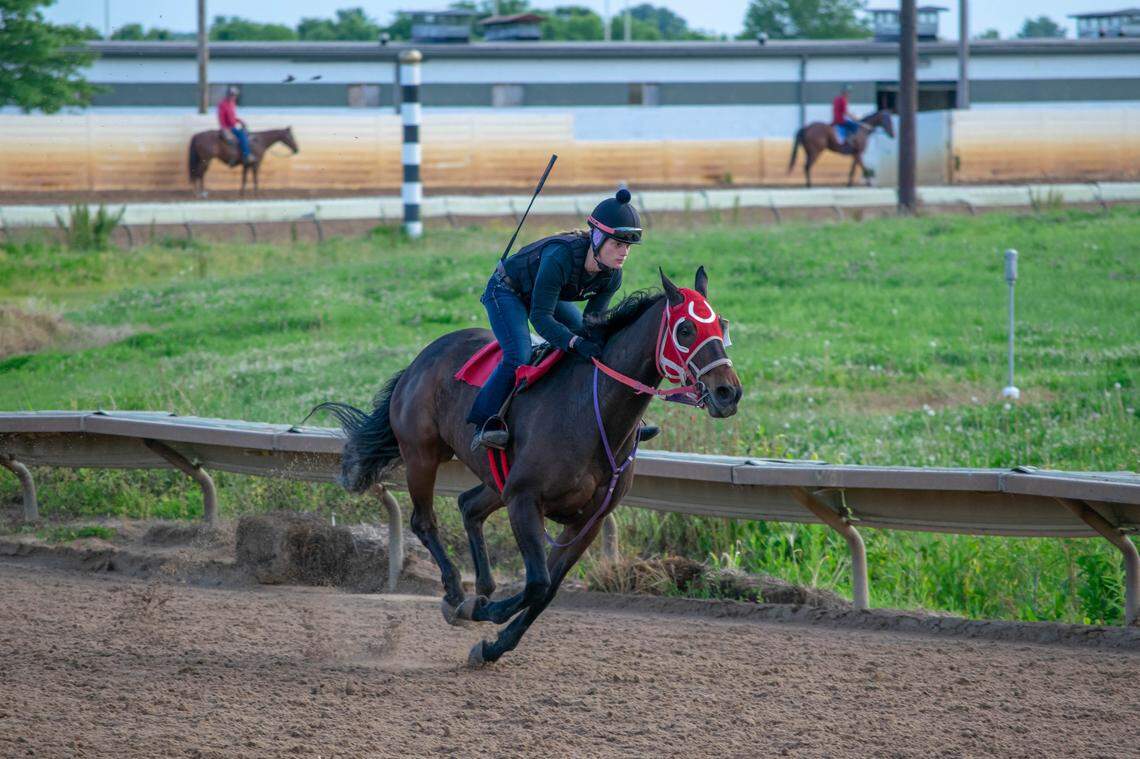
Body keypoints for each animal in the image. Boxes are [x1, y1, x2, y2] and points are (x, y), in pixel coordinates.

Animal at [314, 268, 742, 665]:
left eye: (721, 324)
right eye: (685, 328)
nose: (728, 392)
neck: (591, 412)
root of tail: (421, 358)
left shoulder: (588, 521)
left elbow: (547, 590)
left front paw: (492, 643)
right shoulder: (524, 500)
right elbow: (537, 582)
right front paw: (481, 612)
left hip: (494, 479)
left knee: (469, 506)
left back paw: (481, 587)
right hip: (422, 455)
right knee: (424, 520)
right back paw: (456, 593)